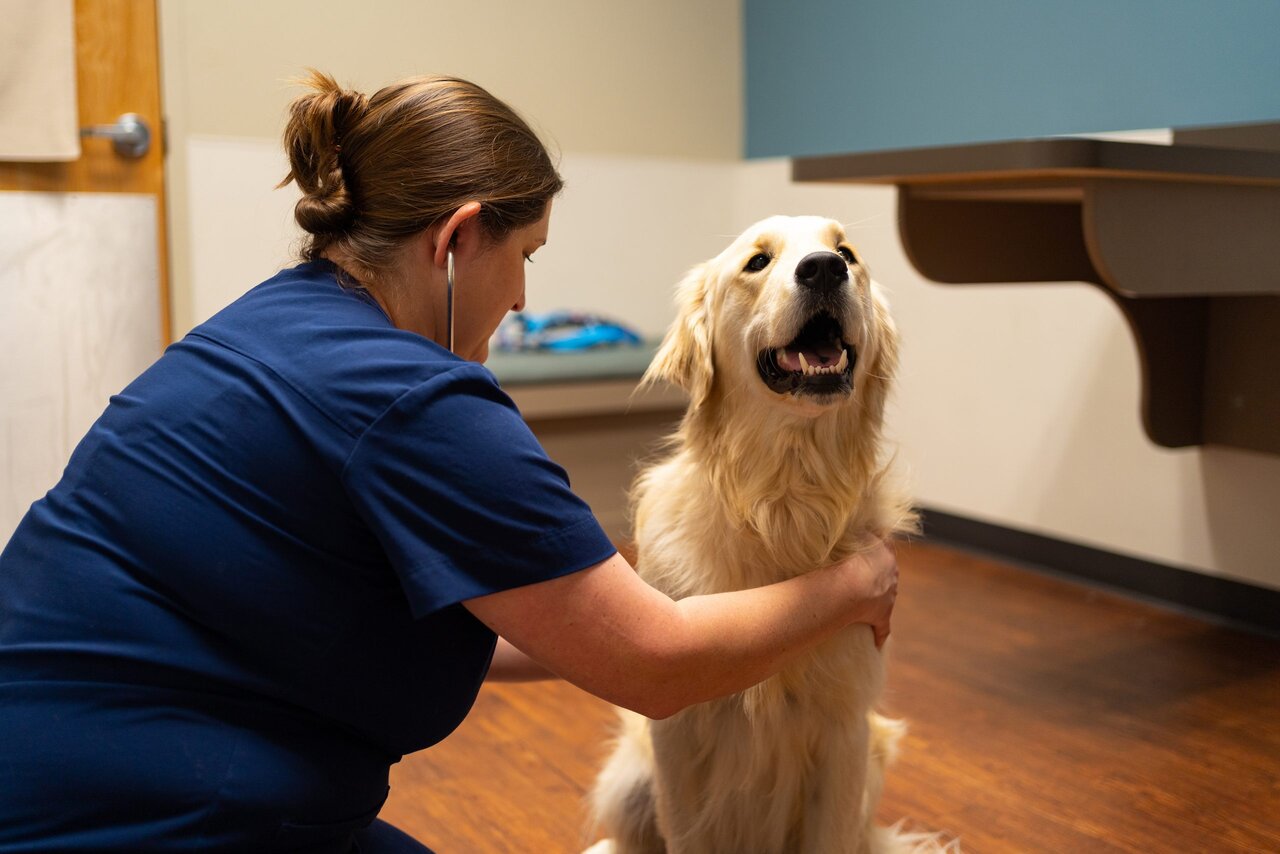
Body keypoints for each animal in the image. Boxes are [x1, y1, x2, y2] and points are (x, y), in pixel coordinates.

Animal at [583, 215, 952, 854]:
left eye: (847, 253)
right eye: (757, 262)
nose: (824, 268)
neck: (782, 499)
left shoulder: (845, 734)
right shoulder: (676, 736)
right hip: (627, 780)